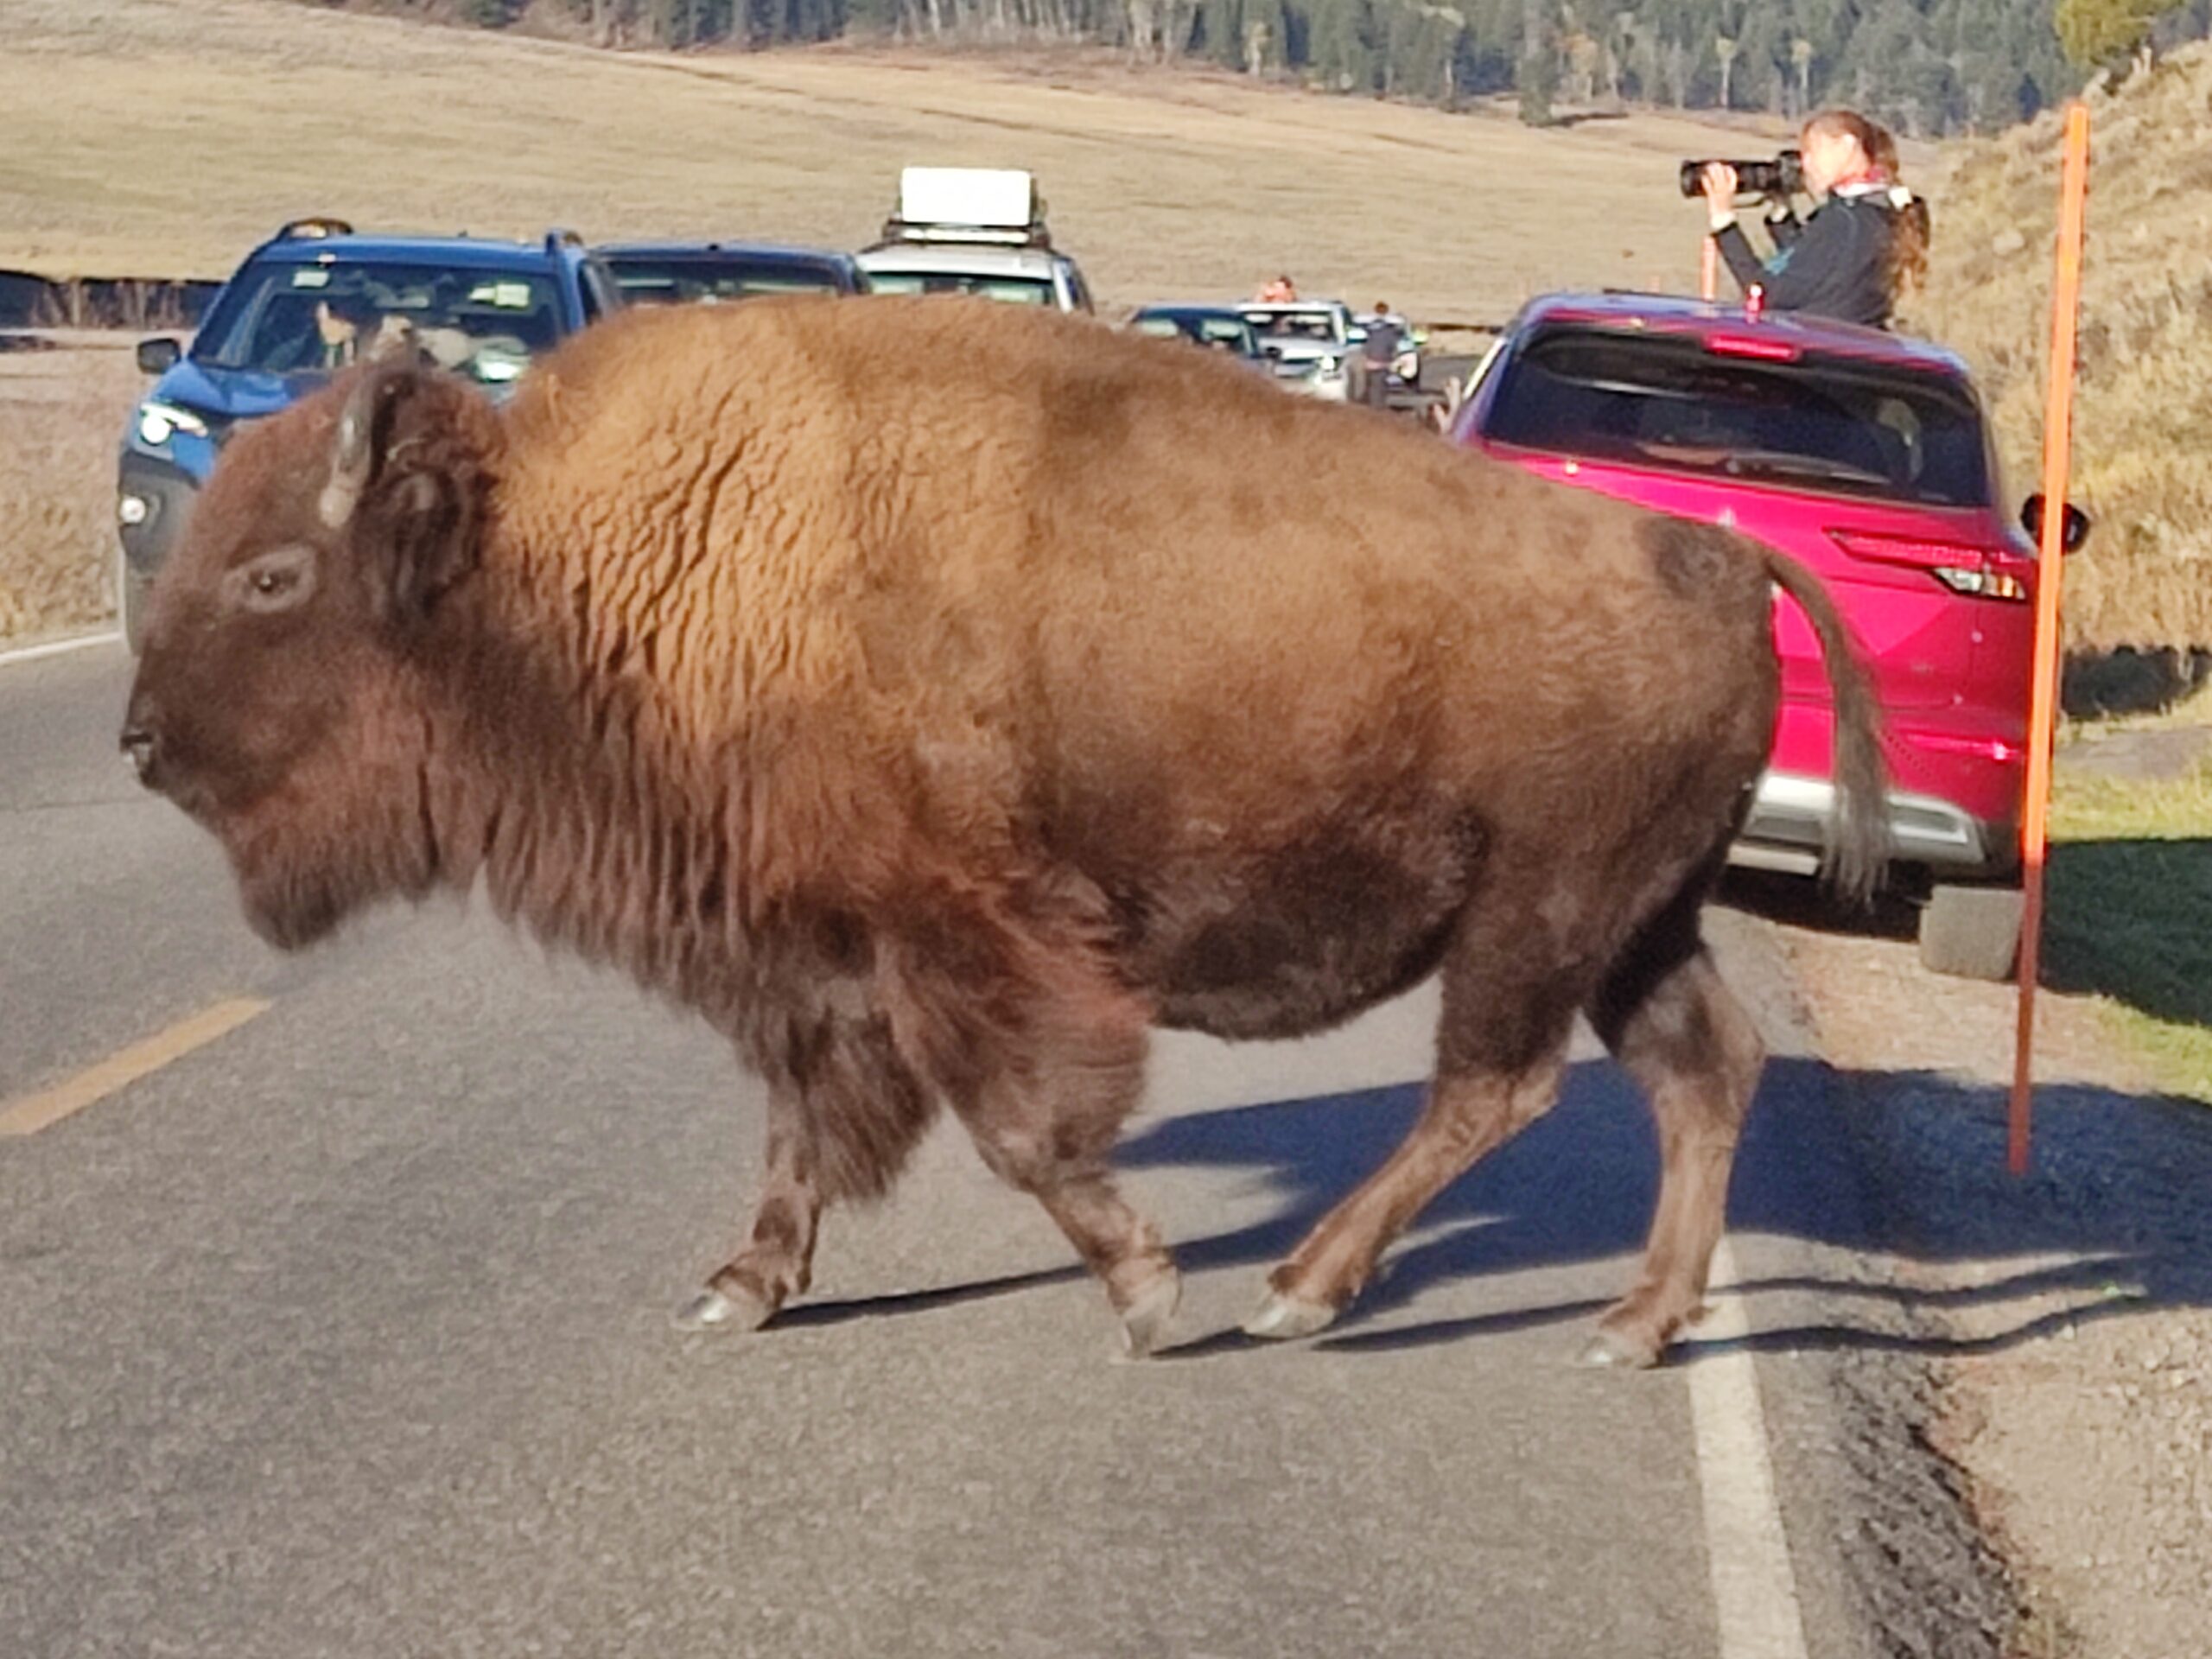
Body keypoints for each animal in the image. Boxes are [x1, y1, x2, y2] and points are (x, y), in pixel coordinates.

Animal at [125, 305, 1885, 1371]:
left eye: (276, 575)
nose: (141, 743)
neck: (608, 554)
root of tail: (1721, 560)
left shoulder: (966, 942)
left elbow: (1023, 1131)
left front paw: (1148, 1294)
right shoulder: (811, 954)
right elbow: (804, 1126)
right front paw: (739, 1289)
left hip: (1539, 915)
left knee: (1498, 1086)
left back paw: (1303, 1294)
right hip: (1636, 924)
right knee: (1701, 1074)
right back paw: (1632, 1323)